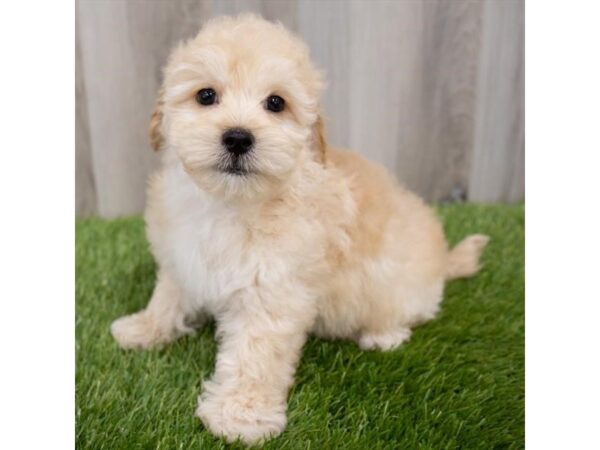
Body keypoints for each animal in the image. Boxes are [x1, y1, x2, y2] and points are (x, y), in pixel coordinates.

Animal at [110, 13, 490, 442]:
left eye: (276, 103)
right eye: (205, 95)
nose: (238, 137)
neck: (230, 201)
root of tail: (443, 261)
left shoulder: (273, 291)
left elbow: (255, 353)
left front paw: (241, 414)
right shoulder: (181, 254)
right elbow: (168, 296)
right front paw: (144, 328)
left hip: (399, 288)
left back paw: (383, 334)